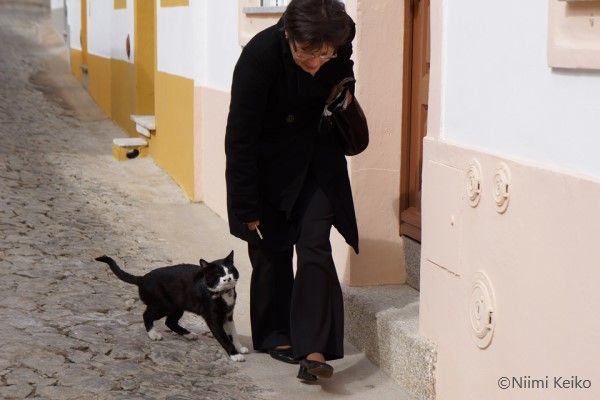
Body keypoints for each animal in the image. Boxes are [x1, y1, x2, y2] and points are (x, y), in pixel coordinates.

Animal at [95, 252, 248, 360]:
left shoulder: (228, 315)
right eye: (217, 275)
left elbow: (233, 333)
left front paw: (239, 348)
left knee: (170, 322)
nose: (227, 278)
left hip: (177, 306)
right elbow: (223, 337)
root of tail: (142, 278)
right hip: (163, 305)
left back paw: (188, 334)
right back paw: (153, 334)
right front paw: (235, 355)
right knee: (146, 315)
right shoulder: (213, 319)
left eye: (230, 271)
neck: (224, 294)